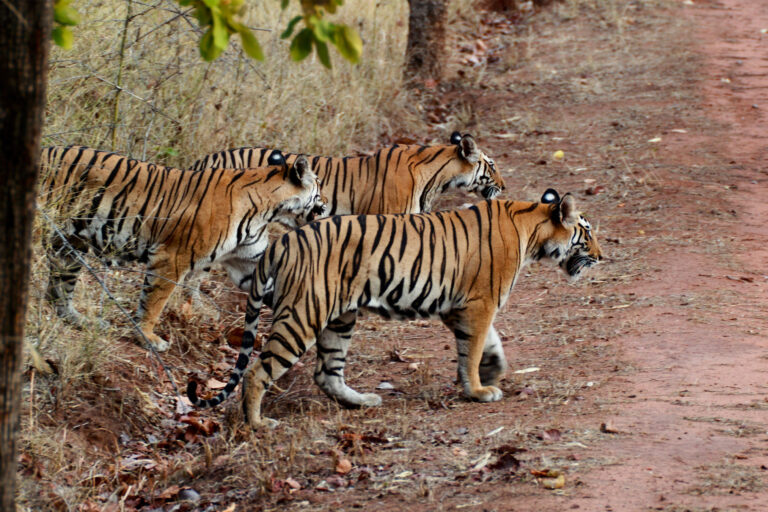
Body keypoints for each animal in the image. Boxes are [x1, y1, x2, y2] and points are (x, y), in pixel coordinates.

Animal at [39, 146, 328, 350]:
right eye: (319, 186)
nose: (326, 204)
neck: (268, 210)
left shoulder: (249, 263)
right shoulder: (171, 258)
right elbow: (154, 302)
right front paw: (148, 338)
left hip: (71, 246)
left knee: (58, 293)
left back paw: (81, 321)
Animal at [188, 188, 608, 428]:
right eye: (587, 232)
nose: (603, 256)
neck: (531, 229)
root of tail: (283, 242)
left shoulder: (461, 307)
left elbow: (487, 344)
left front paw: (492, 372)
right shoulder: (480, 302)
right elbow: (473, 349)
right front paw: (477, 389)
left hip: (340, 318)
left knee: (327, 373)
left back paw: (361, 402)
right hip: (303, 315)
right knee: (258, 371)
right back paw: (258, 424)